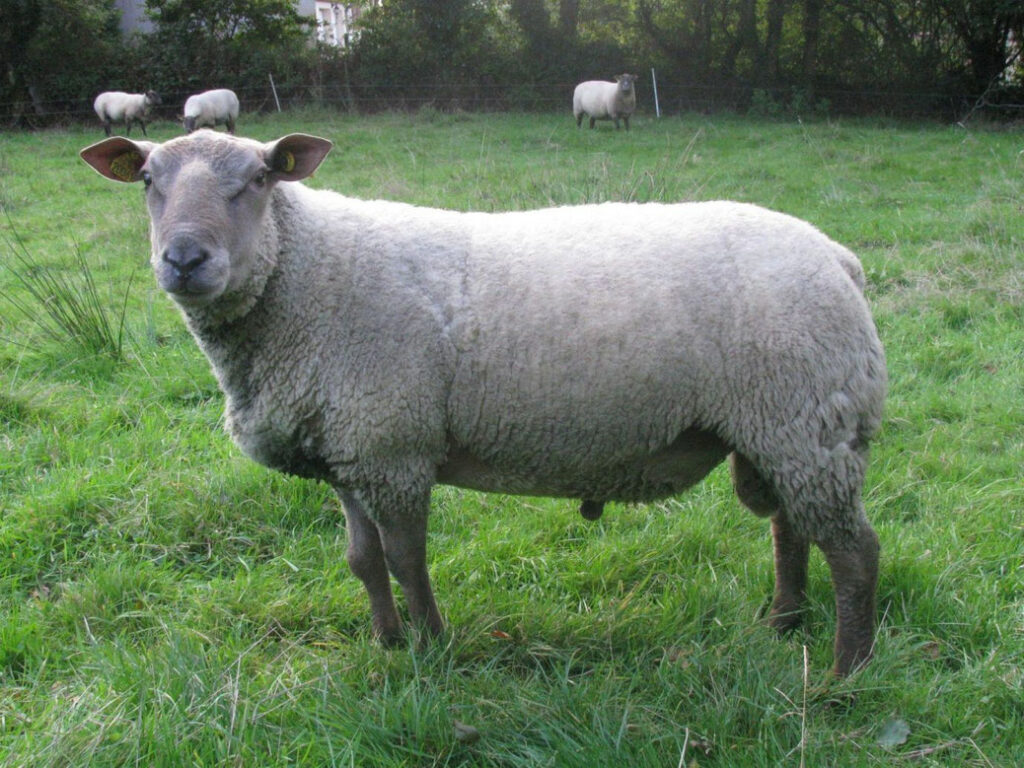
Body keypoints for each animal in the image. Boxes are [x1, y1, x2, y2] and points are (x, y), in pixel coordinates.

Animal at [81, 132, 888, 679]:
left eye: (256, 178)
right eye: (147, 179)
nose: (185, 259)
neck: (306, 277)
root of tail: (838, 257)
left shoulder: (394, 448)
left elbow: (407, 560)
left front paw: (432, 648)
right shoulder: (350, 451)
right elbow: (363, 560)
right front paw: (387, 644)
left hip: (806, 418)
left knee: (854, 549)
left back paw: (842, 674)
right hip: (783, 426)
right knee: (791, 527)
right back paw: (783, 623)